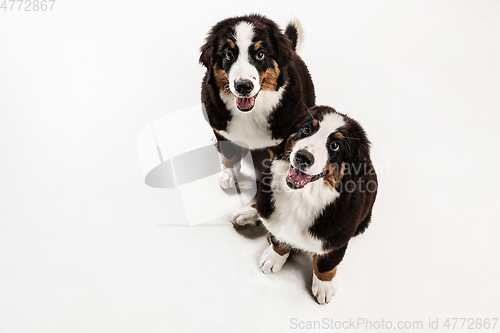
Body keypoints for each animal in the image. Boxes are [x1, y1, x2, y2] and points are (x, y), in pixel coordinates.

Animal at [200, 14, 314, 188]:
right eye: (229, 55)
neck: (250, 113)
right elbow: (229, 153)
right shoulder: (220, 125)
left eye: (260, 54)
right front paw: (228, 174)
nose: (243, 86)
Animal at [229, 105, 376, 304]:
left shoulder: (337, 238)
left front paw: (324, 285)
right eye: (306, 129)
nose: (302, 157)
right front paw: (274, 258)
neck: (301, 197)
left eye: (335, 145)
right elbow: (279, 240)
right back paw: (246, 214)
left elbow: (325, 263)